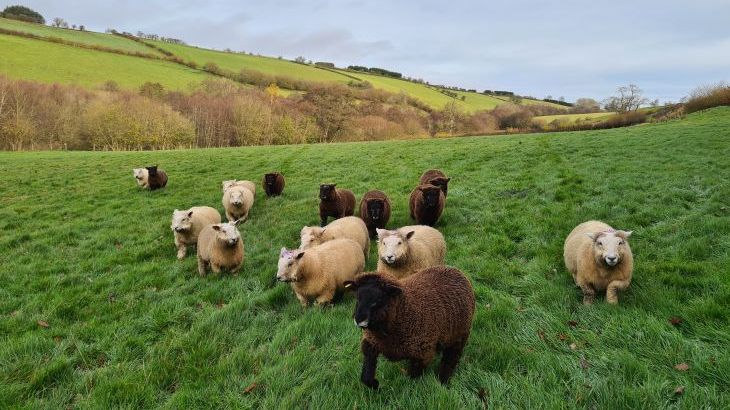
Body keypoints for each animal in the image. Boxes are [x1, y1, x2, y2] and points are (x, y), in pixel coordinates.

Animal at [344, 266, 474, 388]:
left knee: (451, 358)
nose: (359, 320)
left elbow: (412, 380)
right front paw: (375, 384)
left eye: (379, 299)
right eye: (357, 297)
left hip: (459, 335)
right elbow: (366, 376)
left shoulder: (422, 354)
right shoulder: (371, 344)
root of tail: (455, 270)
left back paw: (443, 381)